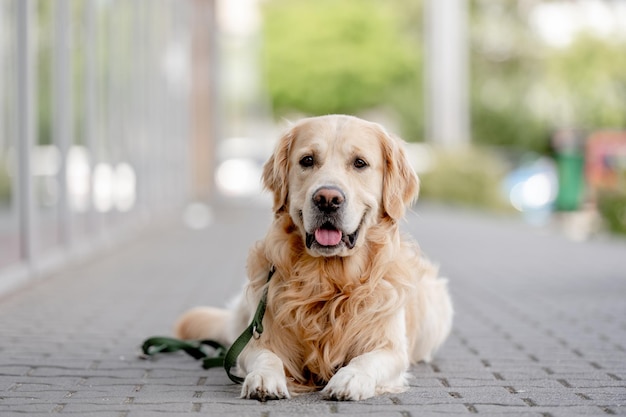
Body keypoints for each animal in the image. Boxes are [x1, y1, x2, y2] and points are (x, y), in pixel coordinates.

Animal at [173, 114, 450, 400]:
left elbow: (366, 360)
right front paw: (264, 377)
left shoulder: (389, 346)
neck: (329, 280)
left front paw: (350, 378)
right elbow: (266, 357)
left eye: (359, 163)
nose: (327, 199)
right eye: (307, 160)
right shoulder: (259, 336)